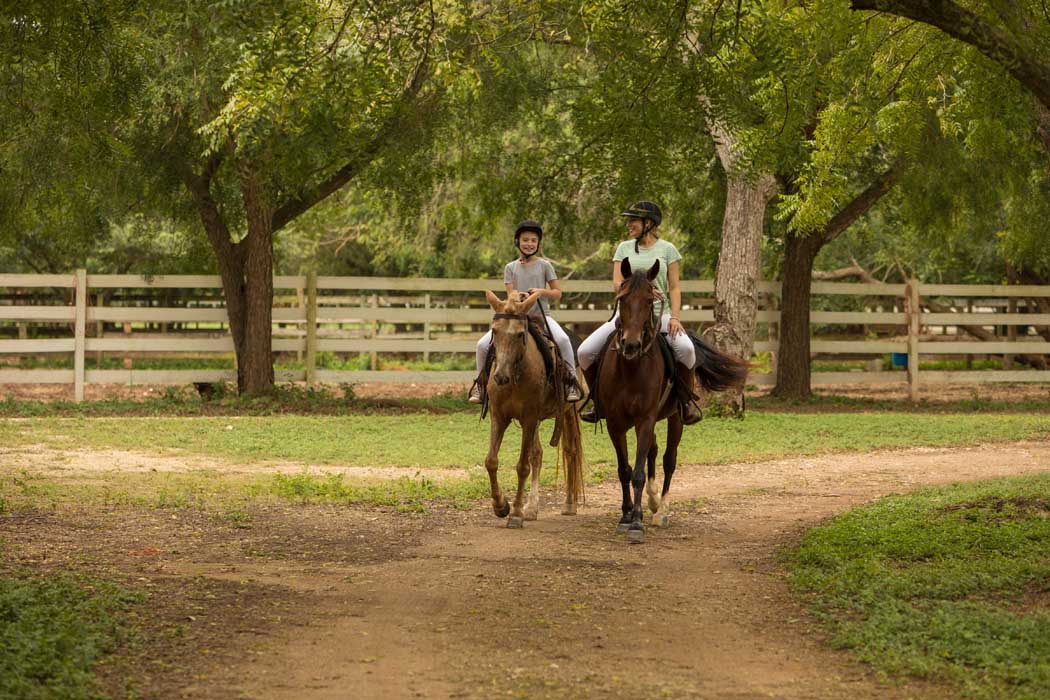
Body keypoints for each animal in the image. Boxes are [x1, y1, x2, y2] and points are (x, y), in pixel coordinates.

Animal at [481, 289, 585, 527]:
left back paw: (569, 504)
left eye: (521, 334)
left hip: (568, 412)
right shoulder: (499, 416)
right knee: (537, 454)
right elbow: (491, 461)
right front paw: (501, 506)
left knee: (571, 452)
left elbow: (522, 466)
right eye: (494, 331)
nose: (500, 376)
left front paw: (516, 513)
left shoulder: (529, 418)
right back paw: (532, 507)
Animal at [594, 258, 748, 543]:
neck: (630, 369)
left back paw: (661, 510)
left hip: (676, 417)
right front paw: (626, 515)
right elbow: (624, 469)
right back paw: (653, 502)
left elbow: (638, 473)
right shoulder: (615, 424)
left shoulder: (645, 420)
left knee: (668, 459)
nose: (630, 345)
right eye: (622, 299)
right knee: (654, 453)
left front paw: (637, 523)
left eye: (649, 300)